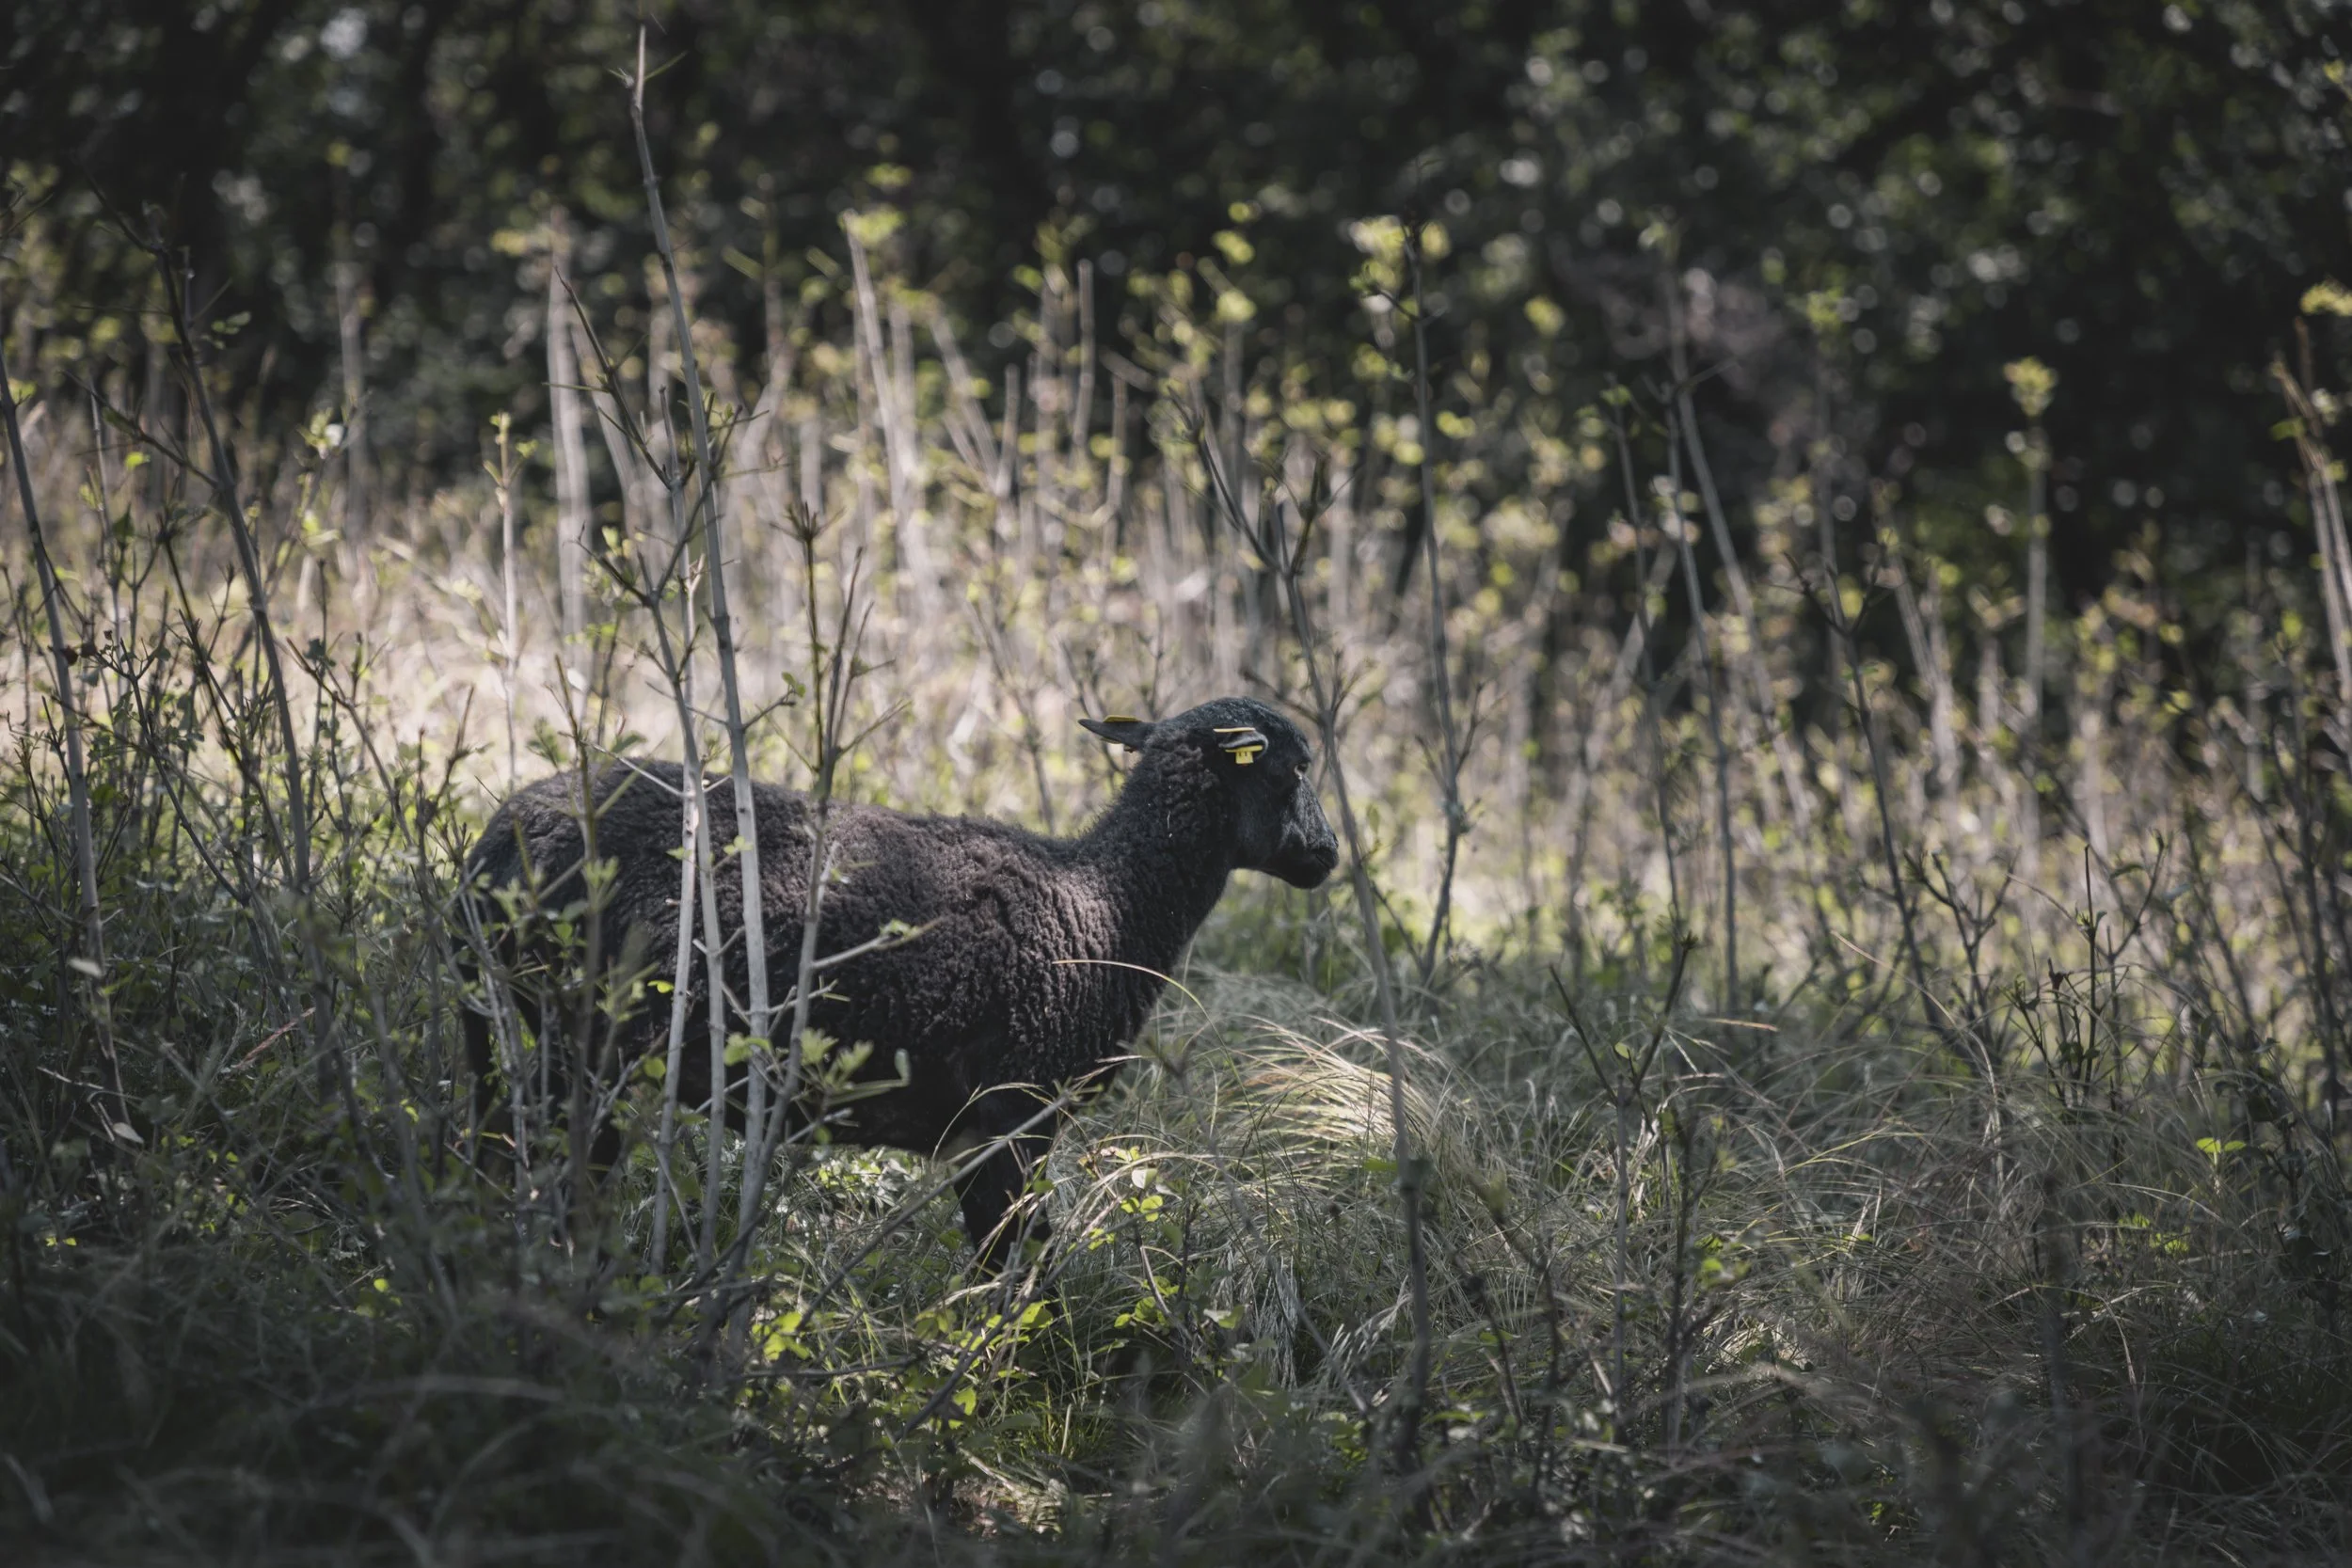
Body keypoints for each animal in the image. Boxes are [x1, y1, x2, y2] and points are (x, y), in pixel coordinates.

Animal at [459, 695, 1338, 1269]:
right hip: (585, 1038)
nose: (1328, 856)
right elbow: (1013, 1268)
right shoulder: (1011, 1113)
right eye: (1294, 769)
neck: (1107, 904)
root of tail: (486, 848)